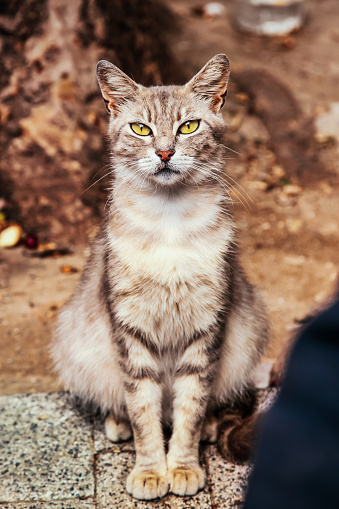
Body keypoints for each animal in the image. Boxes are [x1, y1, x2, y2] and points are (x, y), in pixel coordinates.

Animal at [51, 54, 270, 500]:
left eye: (189, 126)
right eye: (141, 128)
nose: (165, 152)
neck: (170, 220)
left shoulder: (207, 329)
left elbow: (190, 409)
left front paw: (182, 466)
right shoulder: (129, 332)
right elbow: (143, 411)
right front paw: (151, 471)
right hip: (77, 347)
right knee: (122, 403)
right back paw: (118, 423)